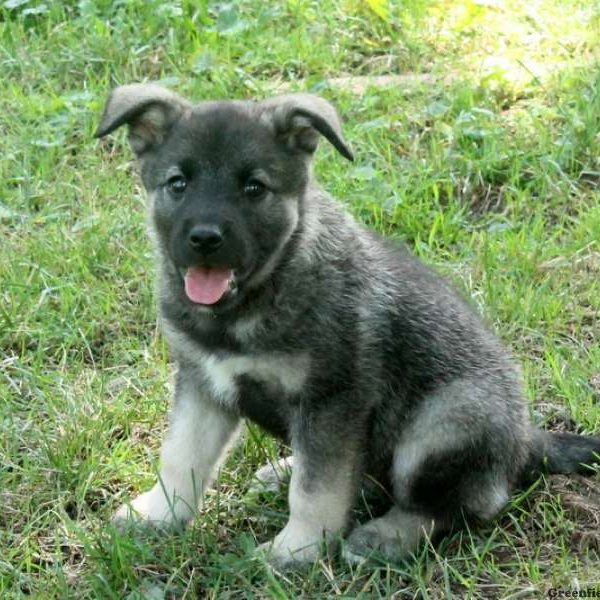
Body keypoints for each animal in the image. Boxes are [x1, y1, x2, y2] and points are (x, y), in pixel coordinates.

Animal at [95, 84, 600, 568]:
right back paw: (283, 470)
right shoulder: (201, 384)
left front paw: (295, 551)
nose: (204, 238)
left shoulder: (333, 399)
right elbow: (181, 456)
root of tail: (525, 440)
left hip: (446, 421)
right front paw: (160, 514)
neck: (256, 300)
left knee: (457, 504)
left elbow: (316, 489)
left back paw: (383, 538)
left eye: (254, 188)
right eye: (177, 183)